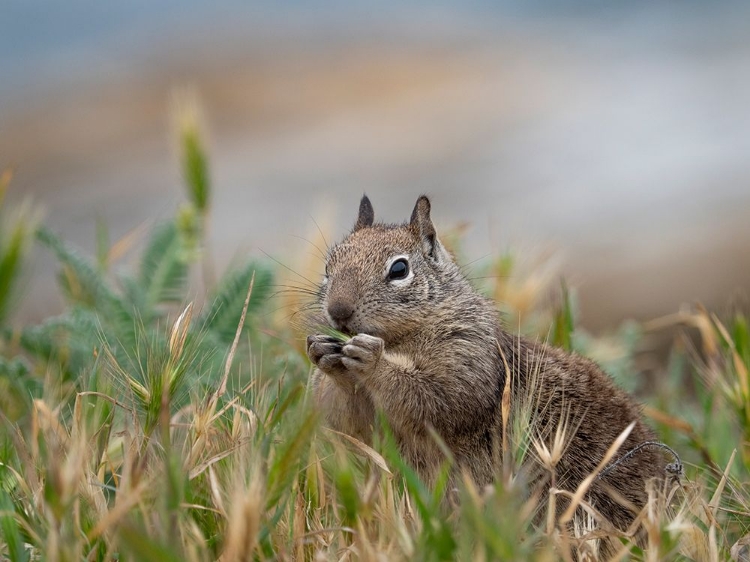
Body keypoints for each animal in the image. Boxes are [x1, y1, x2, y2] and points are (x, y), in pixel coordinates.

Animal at [306, 196, 668, 544]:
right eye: (328, 267)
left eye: (399, 269)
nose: (338, 310)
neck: (400, 341)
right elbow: (349, 421)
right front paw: (324, 352)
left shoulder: (469, 358)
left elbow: (434, 399)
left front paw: (373, 361)